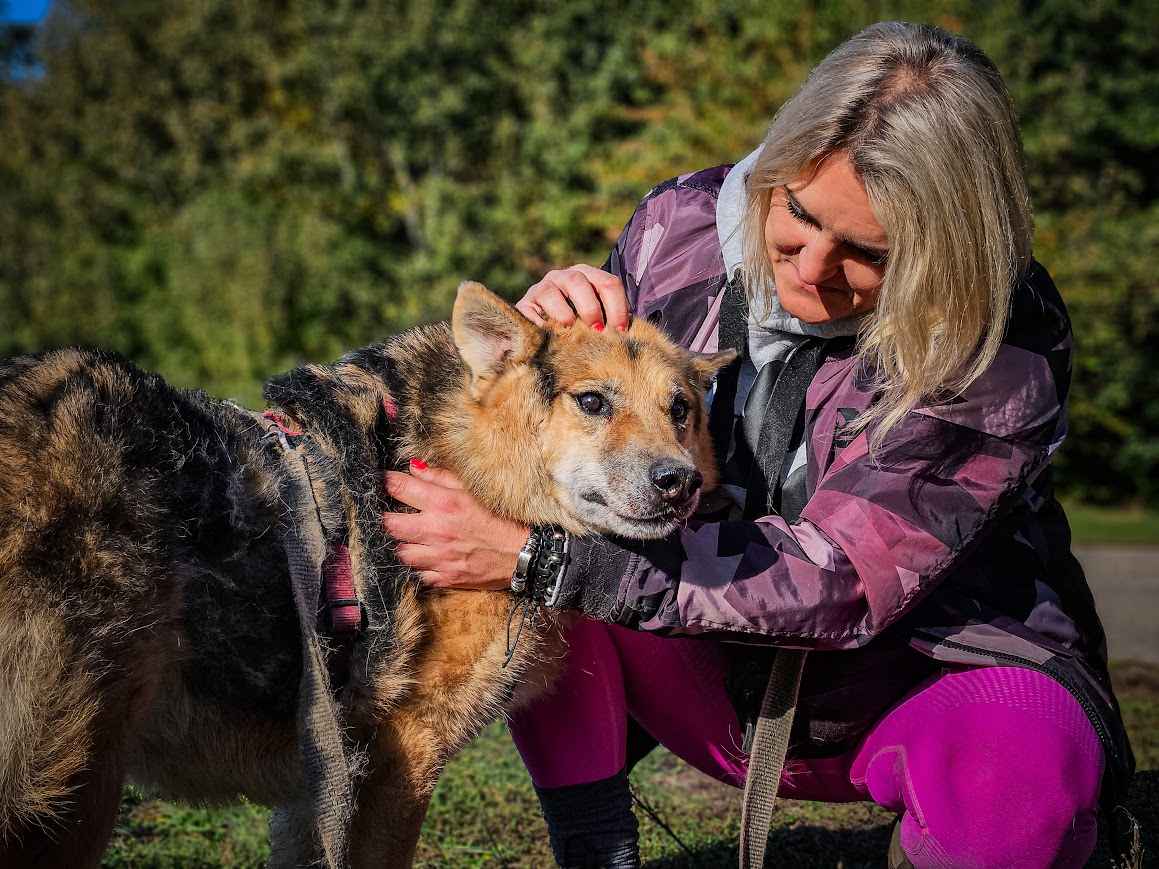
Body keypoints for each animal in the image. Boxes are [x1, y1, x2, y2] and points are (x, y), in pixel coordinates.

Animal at [0, 282, 732, 866]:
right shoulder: (401, 759)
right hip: (72, 790)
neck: (456, 460)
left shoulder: (322, 770)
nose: (679, 483)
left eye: (679, 410)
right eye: (592, 402)